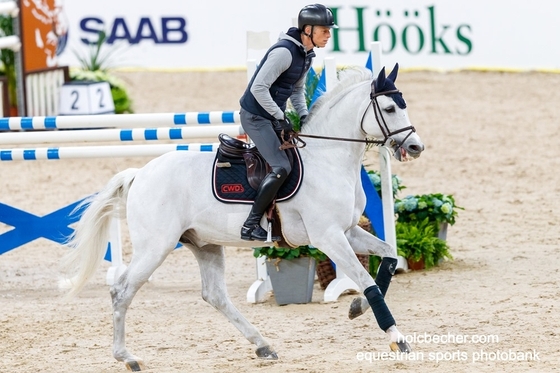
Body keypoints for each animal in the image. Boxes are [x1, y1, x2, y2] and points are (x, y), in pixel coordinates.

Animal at [61, 61, 424, 370]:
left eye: (403, 105)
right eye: (389, 109)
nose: (415, 147)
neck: (329, 159)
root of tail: (140, 174)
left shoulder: (348, 231)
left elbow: (388, 259)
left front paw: (356, 307)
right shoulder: (329, 237)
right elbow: (367, 281)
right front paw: (397, 338)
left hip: (204, 245)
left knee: (214, 295)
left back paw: (263, 345)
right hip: (156, 247)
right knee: (121, 292)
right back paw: (127, 357)